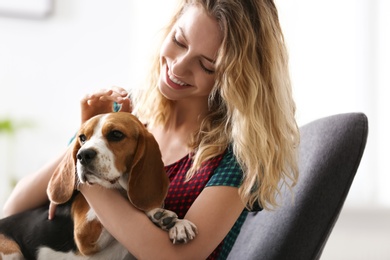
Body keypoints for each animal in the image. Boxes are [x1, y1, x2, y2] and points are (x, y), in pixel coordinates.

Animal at [0, 112, 198, 260]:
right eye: (82, 138)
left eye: (116, 134)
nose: (82, 155)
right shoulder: (85, 236)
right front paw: (159, 215)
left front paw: (175, 223)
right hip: (11, 251)